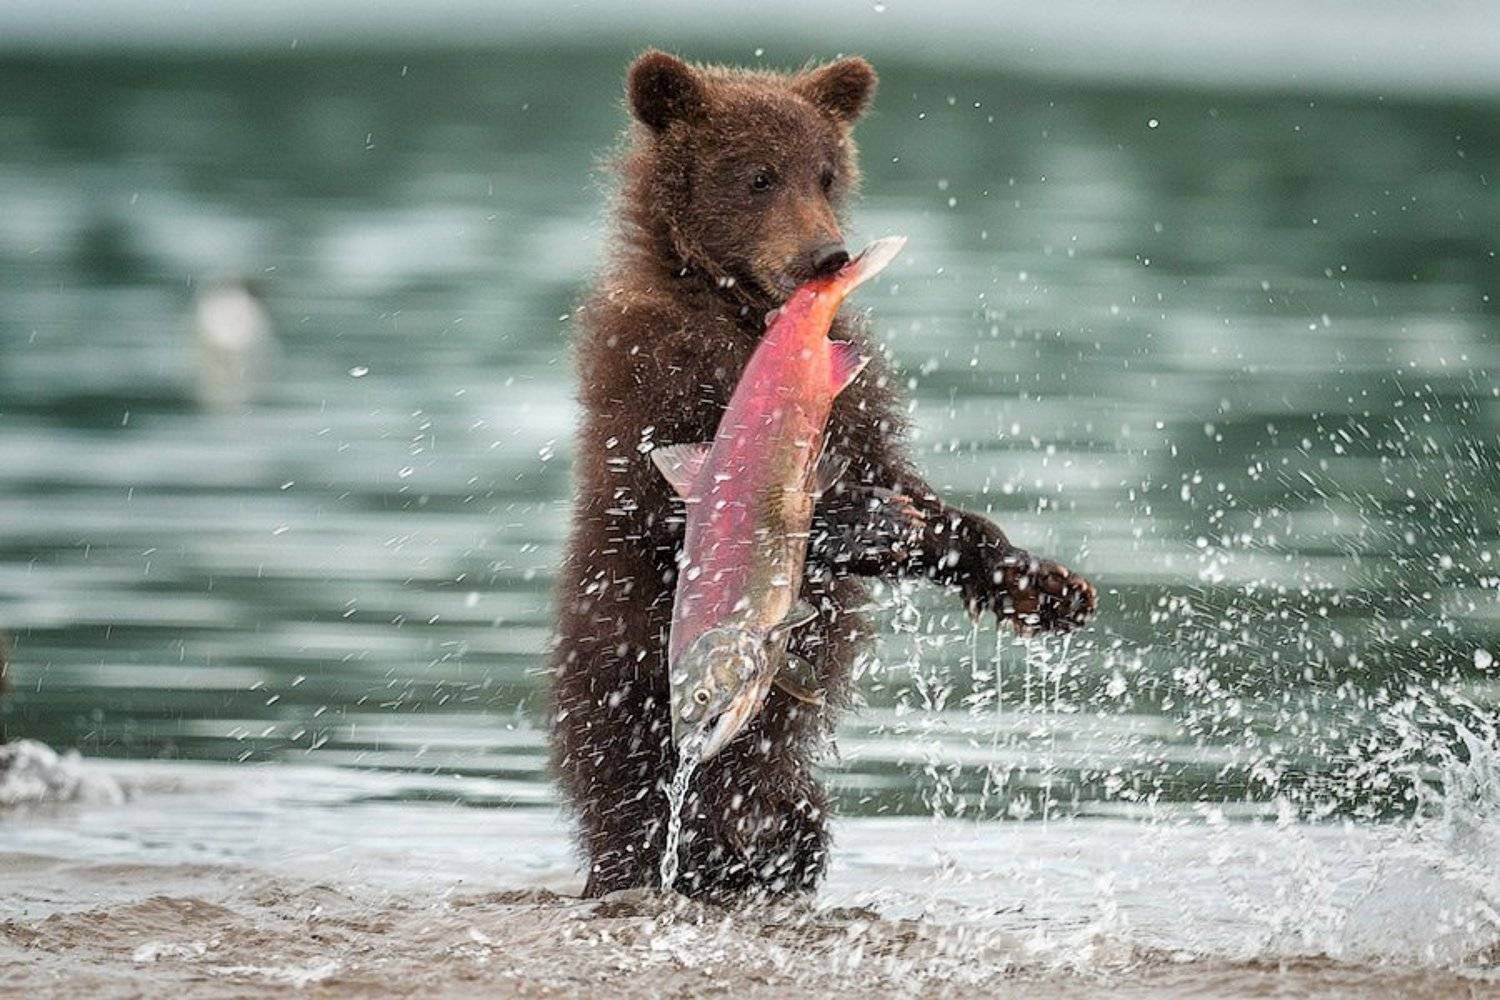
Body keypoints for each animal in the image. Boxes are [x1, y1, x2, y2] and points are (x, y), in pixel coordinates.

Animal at [549, 50, 1097, 900]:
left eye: (828, 173)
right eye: (758, 176)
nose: (827, 257)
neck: (748, 316)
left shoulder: (857, 402)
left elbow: (919, 494)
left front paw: (1042, 582)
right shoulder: (650, 376)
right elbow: (658, 498)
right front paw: (867, 522)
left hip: (777, 787)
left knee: (791, 830)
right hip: (624, 718)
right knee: (637, 822)